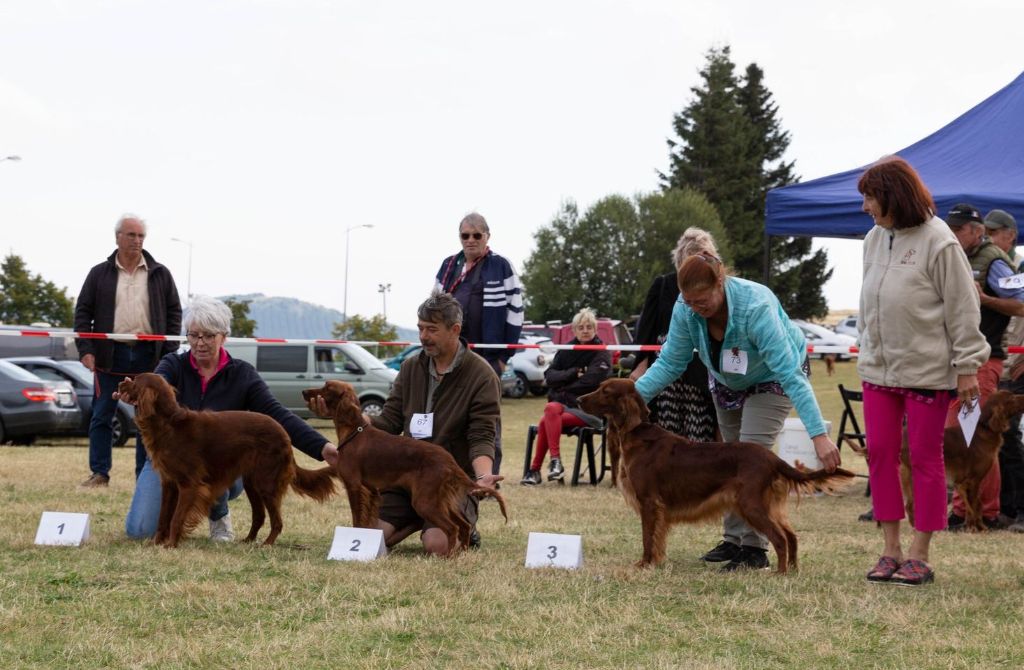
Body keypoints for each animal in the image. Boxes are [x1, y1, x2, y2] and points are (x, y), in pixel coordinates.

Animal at [118, 374, 335, 549]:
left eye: (135, 380)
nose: (120, 383)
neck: (169, 423)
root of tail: (285, 434)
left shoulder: (189, 484)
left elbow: (176, 518)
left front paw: (171, 544)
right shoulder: (169, 484)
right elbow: (163, 517)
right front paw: (156, 542)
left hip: (266, 483)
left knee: (277, 521)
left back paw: (266, 544)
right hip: (252, 483)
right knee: (259, 516)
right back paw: (248, 540)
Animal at [299, 381, 507, 557]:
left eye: (327, 388)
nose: (304, 391)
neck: (353, 433)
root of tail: (448, 460)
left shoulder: (355, 486)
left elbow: (357, 520)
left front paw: (355, 542)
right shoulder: (372, 492)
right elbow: (370, 523)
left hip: (425, 501)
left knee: (452, 528)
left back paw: (447, 556)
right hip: (442, 500)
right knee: (463, 525)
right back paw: (461, 554)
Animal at [581, 381, 851, 573]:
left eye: (605, 391)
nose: (578, 398)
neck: (638, 435)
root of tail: (772, 458)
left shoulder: (649, 502)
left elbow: (648, 538)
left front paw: (645, 564)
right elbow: (658, 539)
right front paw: (655, 563)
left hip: (751, 504)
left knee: (780, 538)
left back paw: (780, 573)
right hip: (768, 505)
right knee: (792, 536)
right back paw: (793, 571)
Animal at [901, 391, 1024, 532]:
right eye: (1012, 398)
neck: (985, 428)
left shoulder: (964, 482)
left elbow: (974, 506)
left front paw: (973, 527)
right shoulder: (973, 480)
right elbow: (975, 505)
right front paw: (977, 528)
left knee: (909, 505)